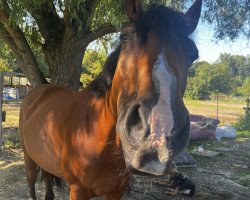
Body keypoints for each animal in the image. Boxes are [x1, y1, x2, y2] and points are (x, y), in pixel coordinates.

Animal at [19, 0, 203, 199]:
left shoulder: (117, 191)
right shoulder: (78, 189)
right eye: (125, 36)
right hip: (28, 157)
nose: (157, 138)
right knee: (30, 182)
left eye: (193, 53)